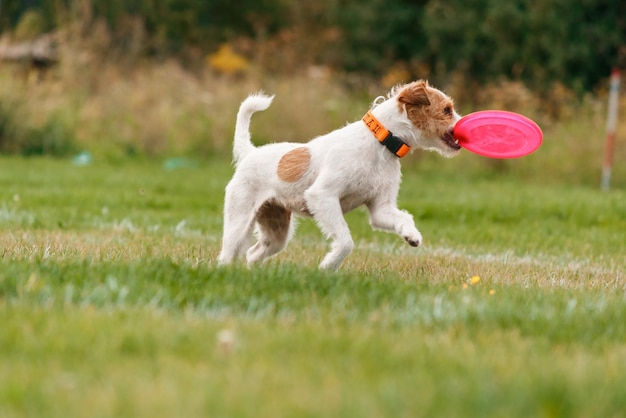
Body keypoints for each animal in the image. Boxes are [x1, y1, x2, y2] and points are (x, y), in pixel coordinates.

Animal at [217, 81, 460, 272]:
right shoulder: (323, 196)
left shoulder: (381, 208)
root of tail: (250, 152)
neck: (380, 143)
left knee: (253, 253)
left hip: (276, 229)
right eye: (447, 110)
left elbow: (403, 217)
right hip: (240, 219)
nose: (463, 123)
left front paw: (411, 235)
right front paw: (328, 266)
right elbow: (345, 241)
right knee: (228, 253)